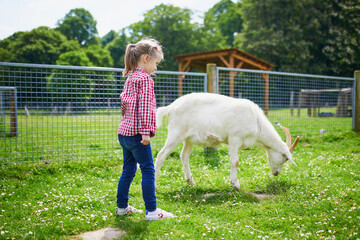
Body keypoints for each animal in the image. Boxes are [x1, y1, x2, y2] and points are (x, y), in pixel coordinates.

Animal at [155, 93, 298, 188]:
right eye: (285, 158)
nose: (276, 173)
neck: (257, 122)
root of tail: (170, 107)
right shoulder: (234, 138)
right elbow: (235, 161)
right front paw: (235, 184)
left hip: (188, 139)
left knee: (184, 156)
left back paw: (191, 182)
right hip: (176, 133)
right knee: (161, 155)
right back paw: (155, 184)